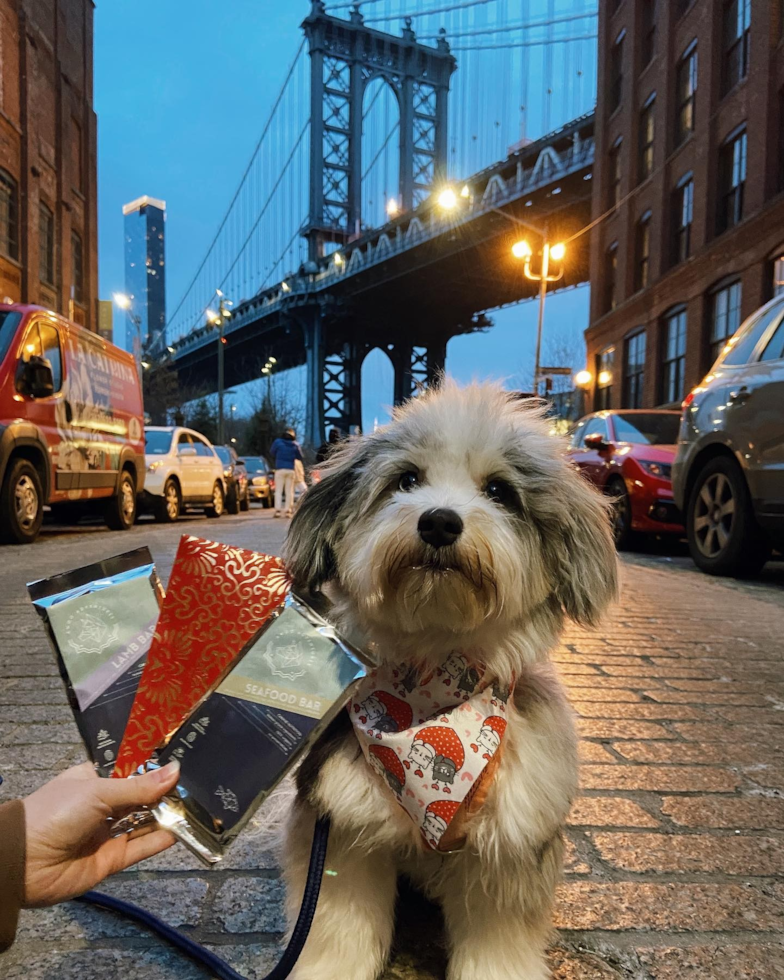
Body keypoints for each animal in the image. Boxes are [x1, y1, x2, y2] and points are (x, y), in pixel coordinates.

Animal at [282, 378, 620, 976]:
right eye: (406, 480)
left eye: (500, 492)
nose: (439, 521)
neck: (431, 692)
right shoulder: (343, 829)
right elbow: (335, 929)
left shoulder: (507, 844)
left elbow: (497, 944)